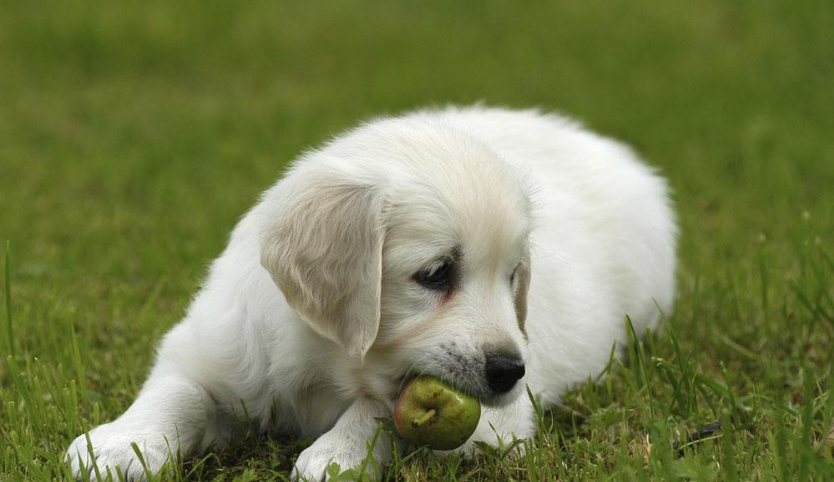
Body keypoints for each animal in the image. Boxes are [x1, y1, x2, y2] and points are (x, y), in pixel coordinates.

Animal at [66, 107, 676, 480]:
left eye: (513, 277)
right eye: (436, 274)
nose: (511, 371)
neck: (326, 363)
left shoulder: (496, 427)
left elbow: (382, 407)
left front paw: (335, 456)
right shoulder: (213, 345)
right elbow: (178, 391)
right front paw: (121, 444)